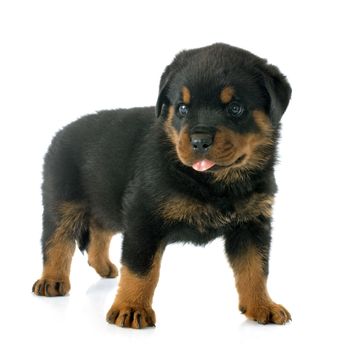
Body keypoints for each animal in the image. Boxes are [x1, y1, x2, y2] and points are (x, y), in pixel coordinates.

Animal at [32, 43, 292, 328]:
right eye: (182, 108)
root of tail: (61, 133)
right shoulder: (143, 217)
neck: (213, 183)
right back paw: (52, 280)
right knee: (56, 240)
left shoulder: (252, 223)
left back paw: (103, 266)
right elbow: (140, 269)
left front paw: (262, 305)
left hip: (108, 202)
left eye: (235, 108)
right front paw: (131, 308)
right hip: (62, 201)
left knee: (99, 232)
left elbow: (255, 268)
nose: (199, 141)